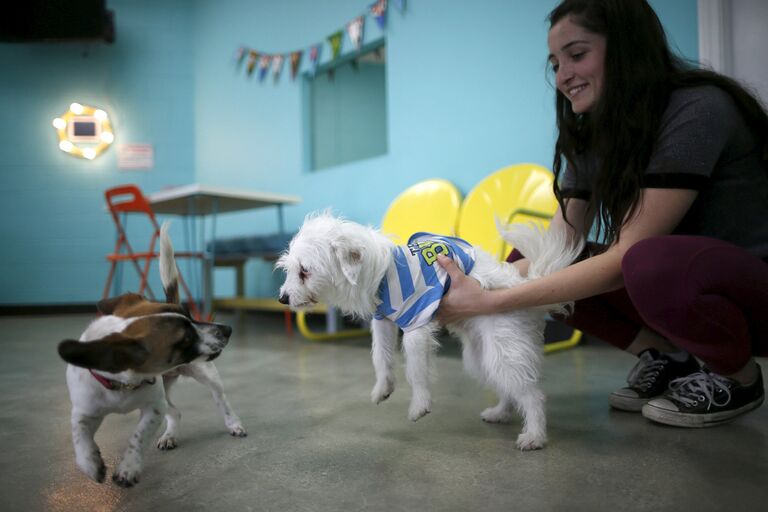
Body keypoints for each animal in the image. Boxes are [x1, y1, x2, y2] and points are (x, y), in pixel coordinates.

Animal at [58, 222, 244, 486]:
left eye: (189, 315)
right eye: (185, 339)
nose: (227, 329)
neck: (123, 385)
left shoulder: (154, 408)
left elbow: (138, 437)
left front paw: (129, 466)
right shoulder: (83, 411)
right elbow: (80, 437)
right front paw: (90, 463)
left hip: (207, 376)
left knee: (221, 401)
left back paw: (233, 423)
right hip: (167, 392)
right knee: (175, 412)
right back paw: (170, 435)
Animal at [276, 211, 584, 448]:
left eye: (305, 271)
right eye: (291, 270)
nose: (282, 298)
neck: (382, 273)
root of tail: (524, 286)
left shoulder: (416, 325)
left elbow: (414, 369)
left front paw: (419, 405)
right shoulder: (383, 322)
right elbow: (380, 357)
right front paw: (383, 388)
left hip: (504, 349)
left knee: (533, 395)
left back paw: (535, 436)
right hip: (483, 356)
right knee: (509, 388)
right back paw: (501, 413)